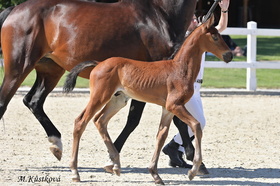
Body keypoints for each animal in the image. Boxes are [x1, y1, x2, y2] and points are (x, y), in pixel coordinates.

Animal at [0, 0, 196, 160]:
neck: (159, 15)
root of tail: (15, 9)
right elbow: (136, 120)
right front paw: (191, 155)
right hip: (19, 68)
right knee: (5, 102)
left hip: (50, 70)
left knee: (33, 101)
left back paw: (56, 143)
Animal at [64, 15, 233, 184]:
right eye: (215, 37)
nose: (229, 55)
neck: (180, 69)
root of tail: (98, 64)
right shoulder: (175, 105)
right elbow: (196, 125)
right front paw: (193, 170)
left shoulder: (168, 109)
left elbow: (161, 135)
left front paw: (155, 174)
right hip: (99, 96)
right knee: (81, 121)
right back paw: (75, 172)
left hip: (117, 101)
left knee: (100, 121)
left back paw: (116, 165)